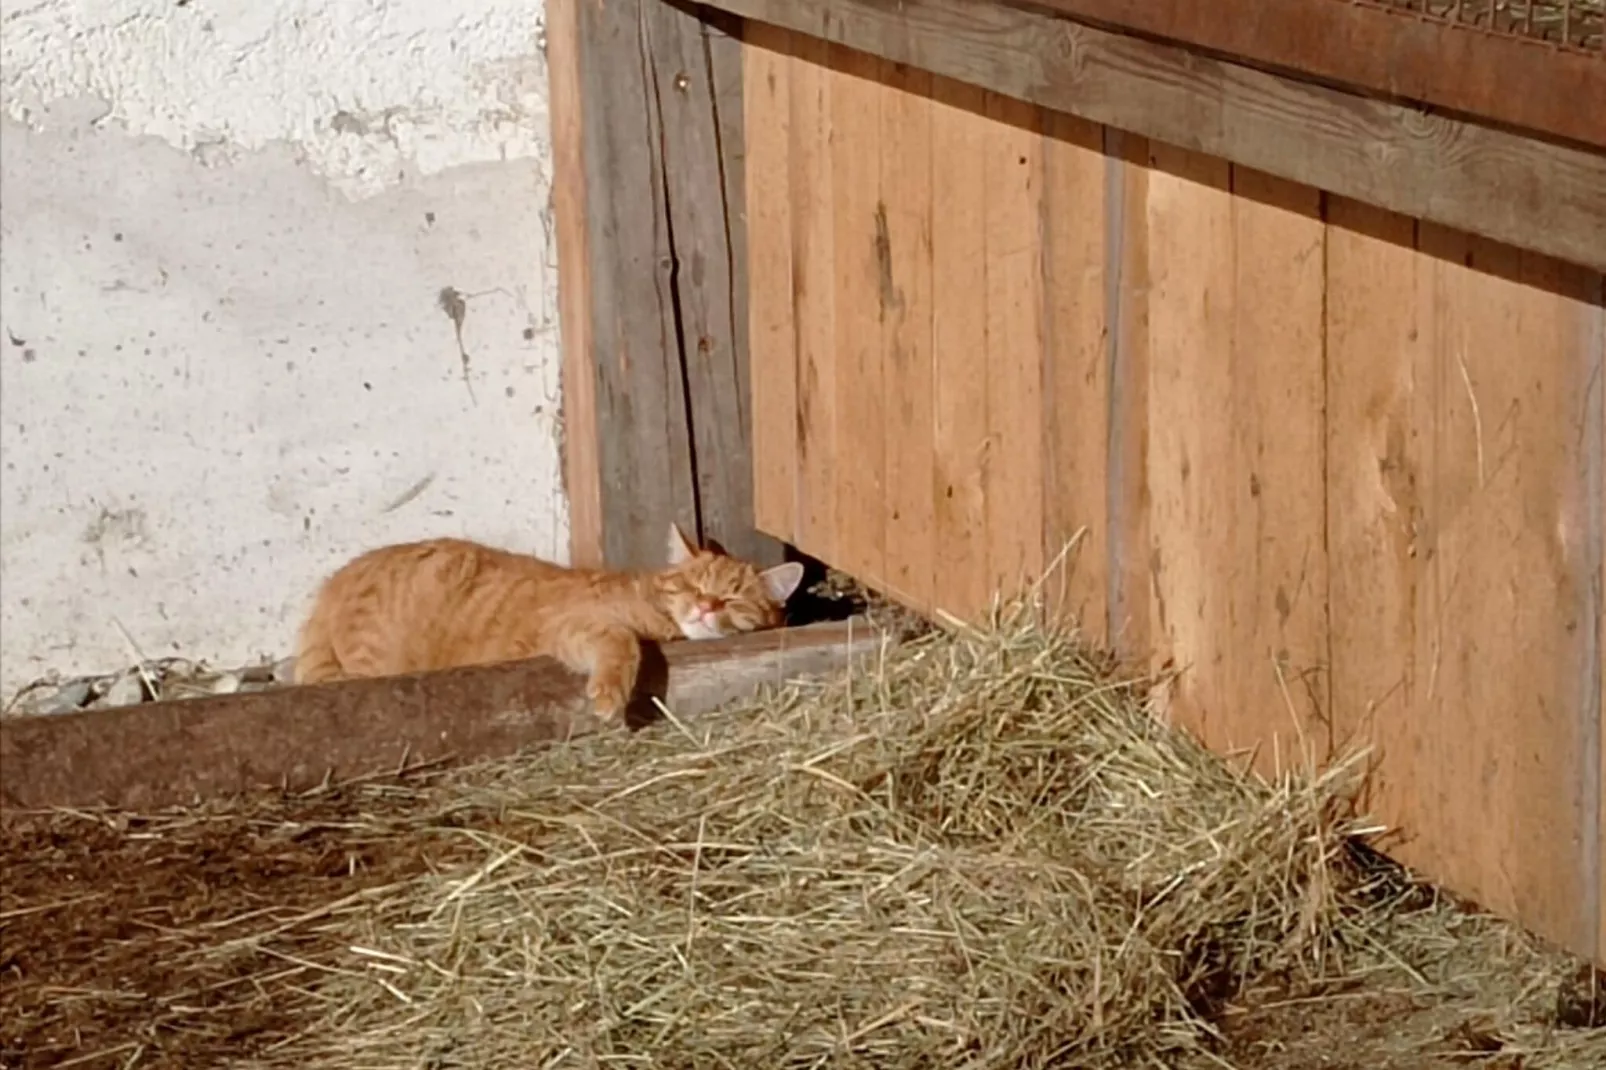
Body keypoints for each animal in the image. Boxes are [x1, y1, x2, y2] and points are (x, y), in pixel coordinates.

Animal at [292, 520, 803, 719]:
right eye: (695, 586)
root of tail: (336, 577)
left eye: (732, 599)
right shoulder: (574, 626)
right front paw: (609, 693)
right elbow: (622, 642)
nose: (706, 607)